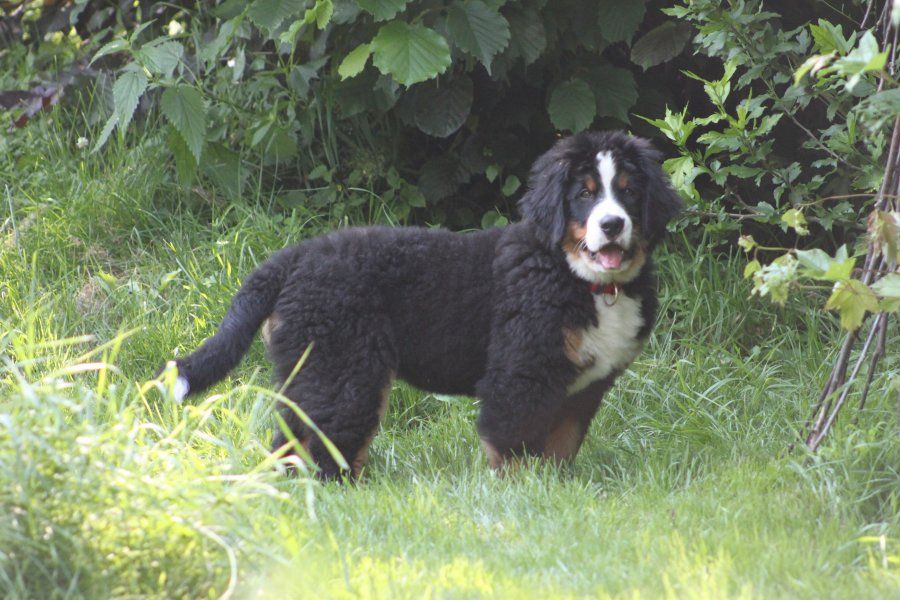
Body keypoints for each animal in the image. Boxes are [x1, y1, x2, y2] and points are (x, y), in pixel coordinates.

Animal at [169, 130, 682, 478]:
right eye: (585, 194)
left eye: (629, 190)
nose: (613, 224)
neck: (582, 280)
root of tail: (292, 257)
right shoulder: (520, 373)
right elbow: (513, 443)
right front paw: (521, 493)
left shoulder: (583, 389)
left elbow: (561, 446)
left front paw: (555, 490)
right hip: (343, 367)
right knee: (320, 437)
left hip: (319, 368)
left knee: (300, 435)